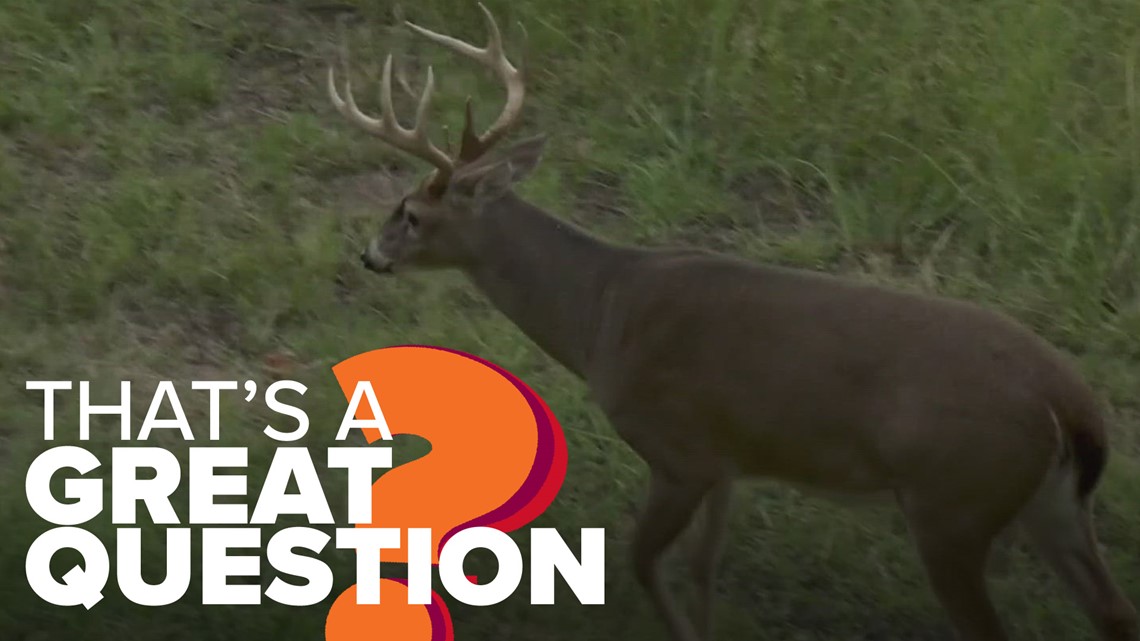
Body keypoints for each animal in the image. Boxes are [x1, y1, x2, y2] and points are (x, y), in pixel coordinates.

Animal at [324, 4, 1140, 640]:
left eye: (411, 212)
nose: (370, 254)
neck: (601, 311)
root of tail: (1069, 404)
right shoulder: (728, 459)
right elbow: (703, 567)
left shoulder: (676, 447)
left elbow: (643, 561)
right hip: (1048, 505)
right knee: (1113, 609)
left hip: (953, 502)